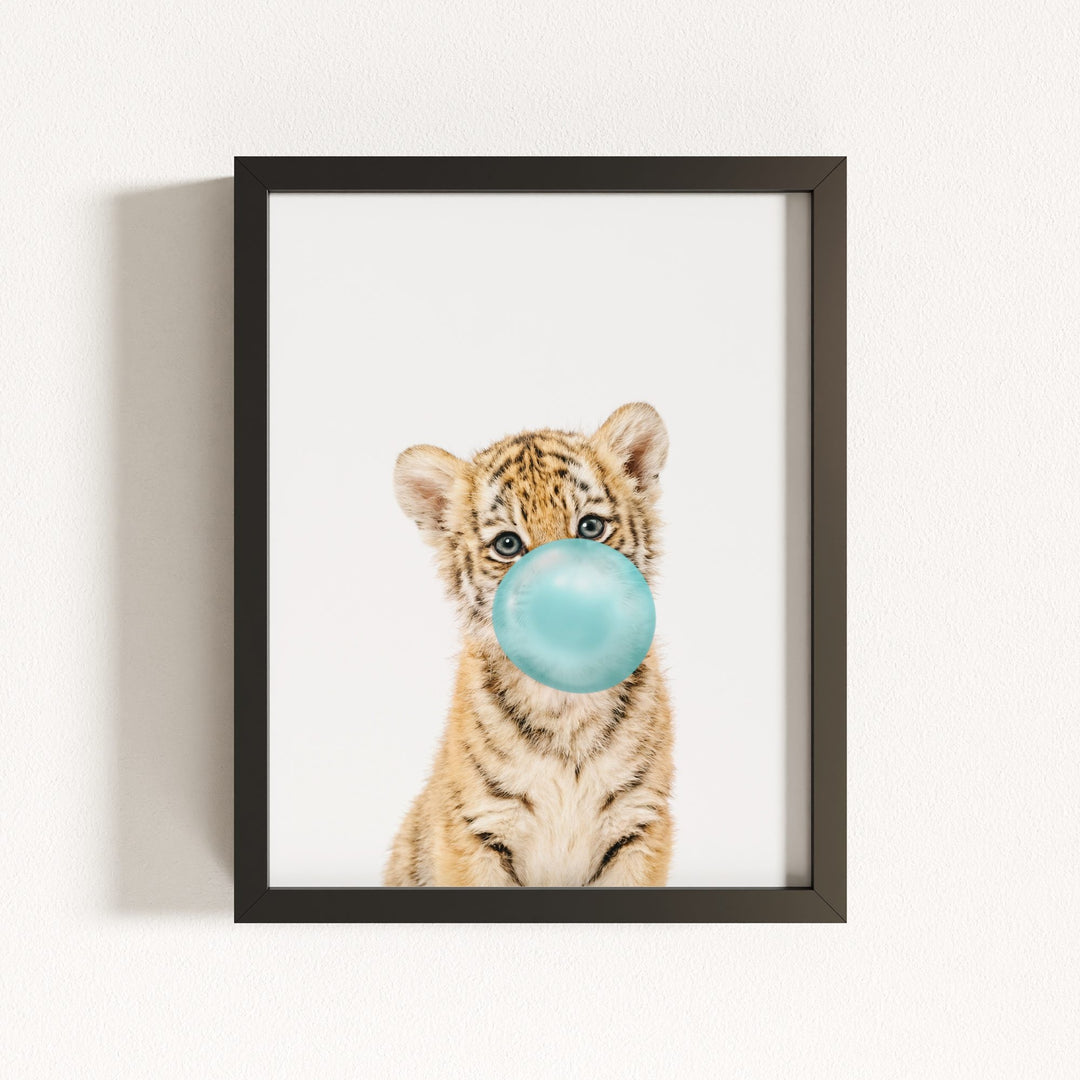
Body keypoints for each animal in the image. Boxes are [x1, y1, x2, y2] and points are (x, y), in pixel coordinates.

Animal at [383, 402, 674, 887]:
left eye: (590, 527)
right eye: (508, 544)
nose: (566, 601)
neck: (566, 701)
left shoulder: (639, 823)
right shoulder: (476, 829)